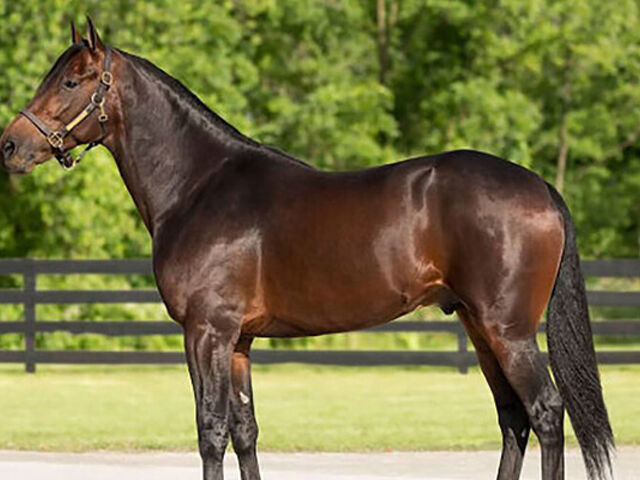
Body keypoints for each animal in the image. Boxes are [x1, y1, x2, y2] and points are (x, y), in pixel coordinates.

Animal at [0, 19, 614, 480]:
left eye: (73, 82)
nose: (10, 145)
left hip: (508, 330)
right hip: (479, 326)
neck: (199, 184)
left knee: (545, 413)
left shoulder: (206, 332)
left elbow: (210, 431)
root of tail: (539, 186)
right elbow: (245, 431)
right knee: (513, 419)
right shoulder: (239, 342)